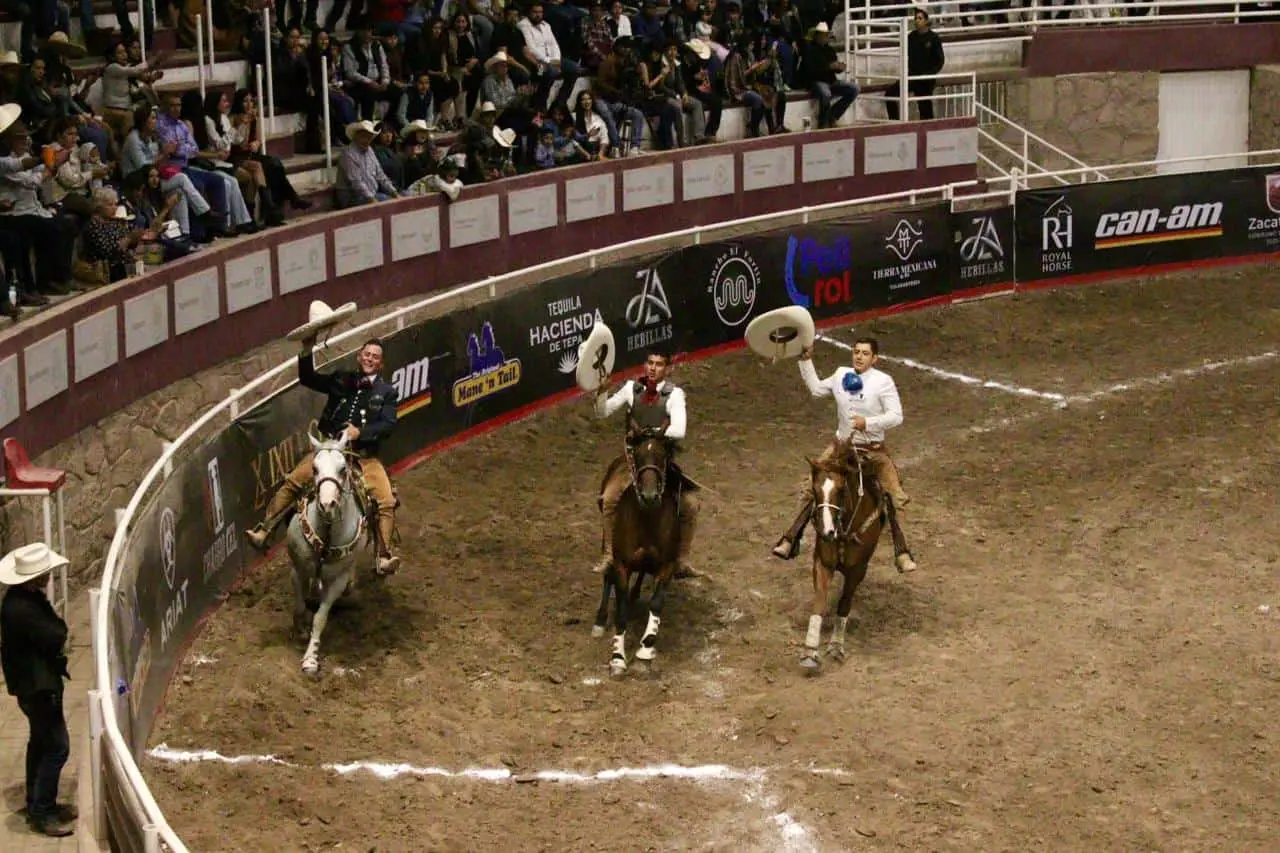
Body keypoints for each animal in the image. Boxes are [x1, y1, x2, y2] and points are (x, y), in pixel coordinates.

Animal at [288, 435, 373, 676]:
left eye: (343, 469)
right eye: (314, 468)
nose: (327, 504)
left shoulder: (337, 580)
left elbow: (320, 617)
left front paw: (310, 658)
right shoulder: (297, 569)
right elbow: (300, 604)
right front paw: (300, 629)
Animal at [591, 427, 686, 676]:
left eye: (663, 455)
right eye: (639, 455)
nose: (650, 495)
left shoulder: (666, 565)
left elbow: (656, 605)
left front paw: (645, 653)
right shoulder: (621, 564)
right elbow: (621, 611)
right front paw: (617, 658)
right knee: (608, 577)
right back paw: (600, 620)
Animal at [803, 445, 885, 671]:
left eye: (841, 490)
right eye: (815, 490)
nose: (826, 531)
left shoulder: (858, 569)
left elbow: (845, 602)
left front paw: (836, 647)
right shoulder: (822, 563)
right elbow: (820, 602)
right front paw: (810, 652)